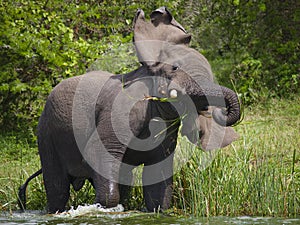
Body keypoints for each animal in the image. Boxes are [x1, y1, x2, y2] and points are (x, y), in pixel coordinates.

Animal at [17, 7, 240, 214]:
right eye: (175, 68)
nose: (220, 111)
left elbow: (158, 179)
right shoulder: (121, 109)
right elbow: (97, 152)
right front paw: (105, 209)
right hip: (46, 134)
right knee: (58, 187)